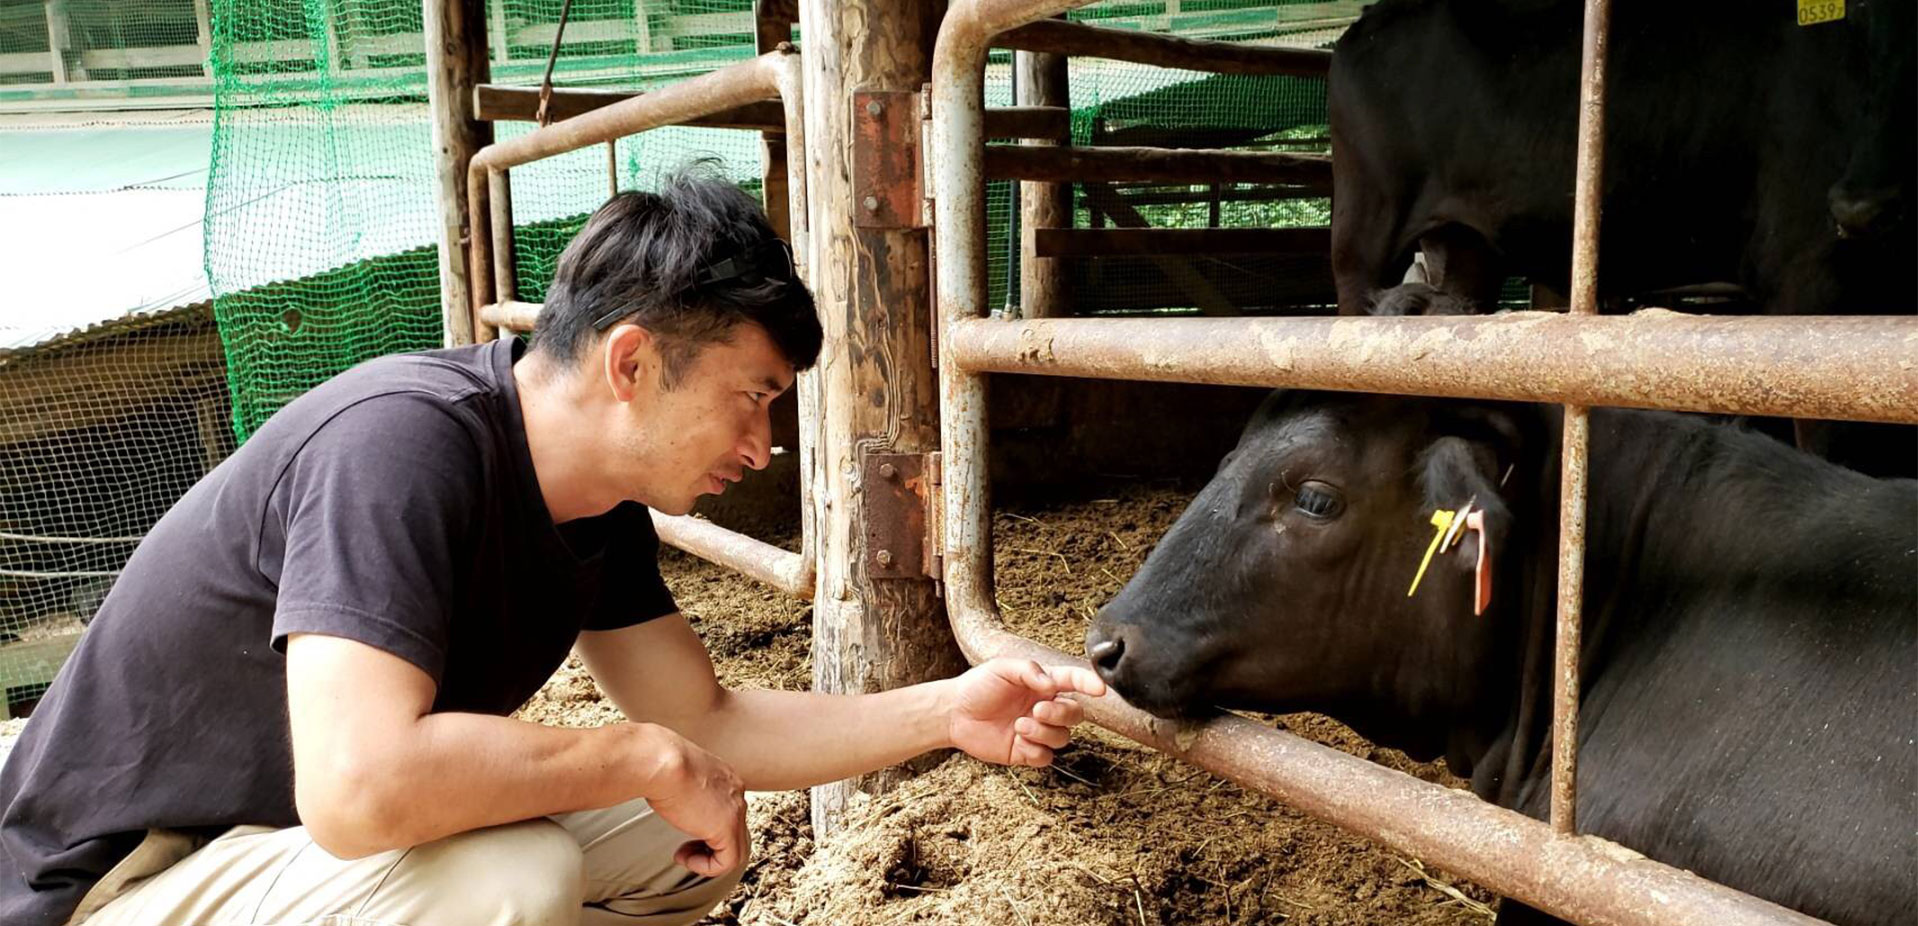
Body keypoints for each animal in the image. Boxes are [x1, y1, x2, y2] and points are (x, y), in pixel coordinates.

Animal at [1334, 0, 1918, 316]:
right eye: (1858, 11)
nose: (1860, 207)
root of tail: (1362, 24)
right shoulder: (1805, 273)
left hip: (1467, 248)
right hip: (1363, 239)